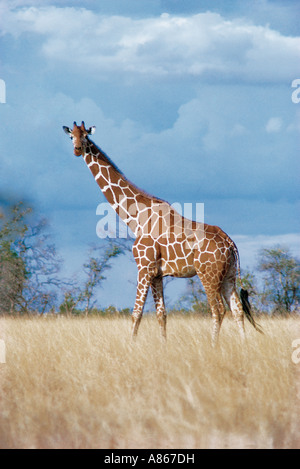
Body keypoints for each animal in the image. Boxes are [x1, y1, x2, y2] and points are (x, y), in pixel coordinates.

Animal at [63, 120, 262, 342]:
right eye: (71, 136)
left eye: (85, 137)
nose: (77, 149)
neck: (136, 218)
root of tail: (230, 244)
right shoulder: (157, 274)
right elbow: (162, 314)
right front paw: (163, 344)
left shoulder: (144, 268)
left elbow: (136, 314)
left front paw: (131, 345)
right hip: (229, 275)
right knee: (237, 309)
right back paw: (243, 344)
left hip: (208, 274)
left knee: (218, 310)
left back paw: (213, 345)